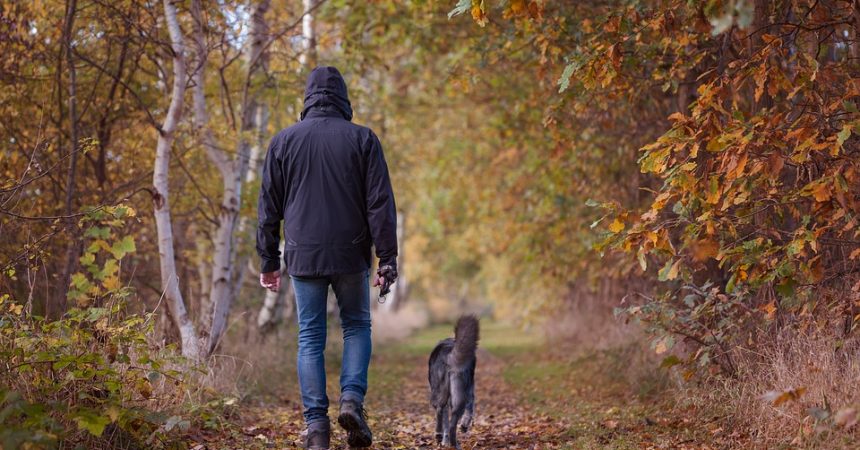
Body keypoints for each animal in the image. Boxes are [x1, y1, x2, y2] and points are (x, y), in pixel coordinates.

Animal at [428, 314, 480, 448]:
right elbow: (471, 407)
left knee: (440, 409)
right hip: (459, 393)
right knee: (452, 423)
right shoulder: (469, 389)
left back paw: (439, 434)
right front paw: (464, 425)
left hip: (442, 392)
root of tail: (448, 351)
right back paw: (454, 443)